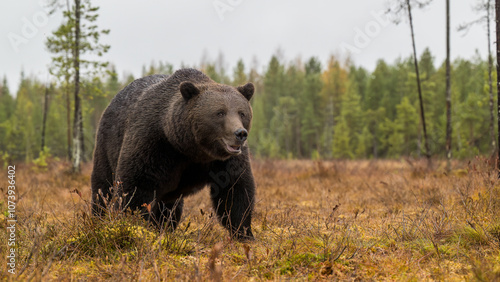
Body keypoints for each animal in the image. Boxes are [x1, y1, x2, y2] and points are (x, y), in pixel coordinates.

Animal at [90, 68, 256, 240]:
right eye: (220, 112)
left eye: (242, 113)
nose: (240, 133)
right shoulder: (152, 143)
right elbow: (135, 186)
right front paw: (132, 226)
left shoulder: (225, 162)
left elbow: (235, 191)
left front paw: (244, 234)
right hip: (107, 144)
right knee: (103, 187)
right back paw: (99, 218)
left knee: (170, 207)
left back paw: (164, 226)